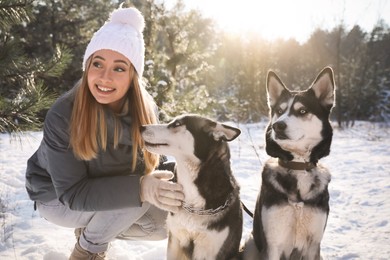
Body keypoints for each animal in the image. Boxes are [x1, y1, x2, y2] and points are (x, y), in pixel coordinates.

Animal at [244, 67, 336, 260]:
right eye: (279, 111)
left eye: (302, 111)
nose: (278, 126)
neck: (298, 165)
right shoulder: (273, 245)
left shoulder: (313, 246)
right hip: (250, 243)